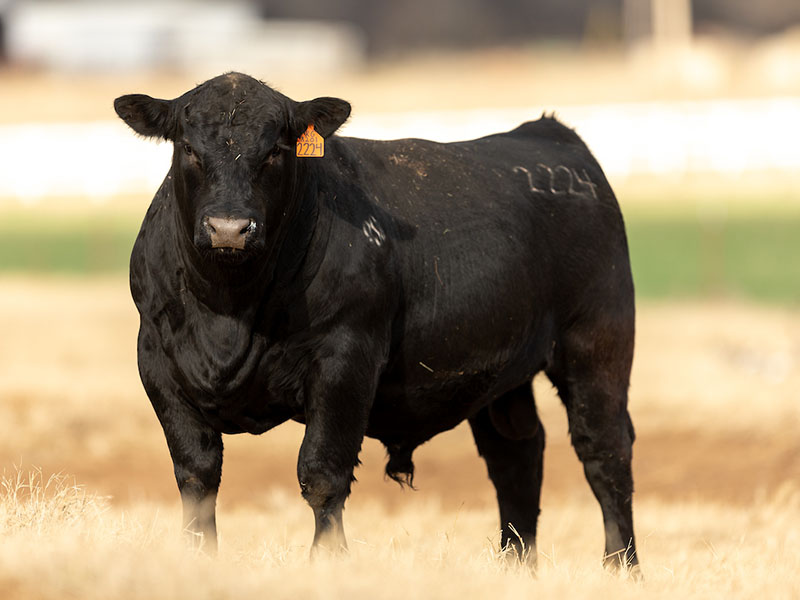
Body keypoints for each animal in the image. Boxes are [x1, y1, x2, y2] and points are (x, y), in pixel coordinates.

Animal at [114, 72, 638, 572]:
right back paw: (515, 567)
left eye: (276, 150)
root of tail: (548, 133)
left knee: (604, 452)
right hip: (504, 378)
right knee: (516, 455)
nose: (229, 228)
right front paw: (198, 557)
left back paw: (621, 567)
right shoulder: (157, 366)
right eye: (187, 147)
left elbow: (322, 473)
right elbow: (197, 476)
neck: (228, 313)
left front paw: (328, 561)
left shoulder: (345, 361)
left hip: (597, 343)